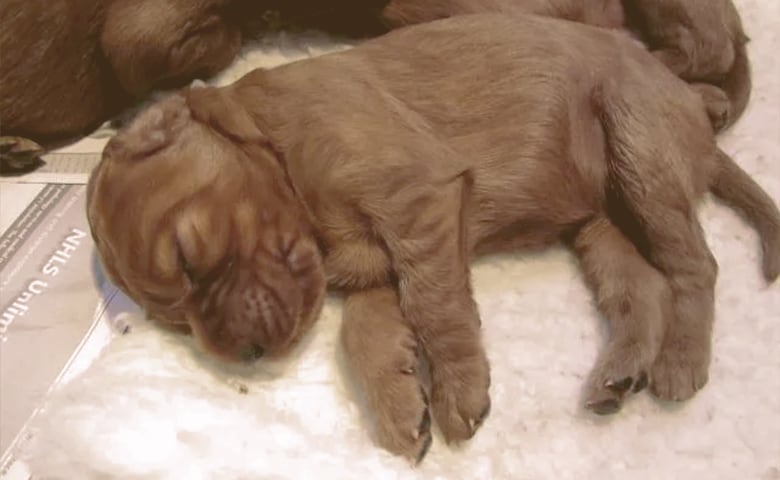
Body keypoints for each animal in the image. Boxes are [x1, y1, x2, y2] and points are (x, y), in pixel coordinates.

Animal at [88, 15, 776, 464]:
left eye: (187, 258)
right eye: (176, 323)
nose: (248, 356)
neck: (276, 141)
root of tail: (695, 118)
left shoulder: (416, 197)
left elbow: (432, 304)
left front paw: (457, 392)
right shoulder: (369, 270)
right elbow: (363, 335)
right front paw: (400, 408)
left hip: (639, 146)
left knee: (696, 267)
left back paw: (680, 362)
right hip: (599, 220)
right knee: (641, 286)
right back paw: (619, 372)